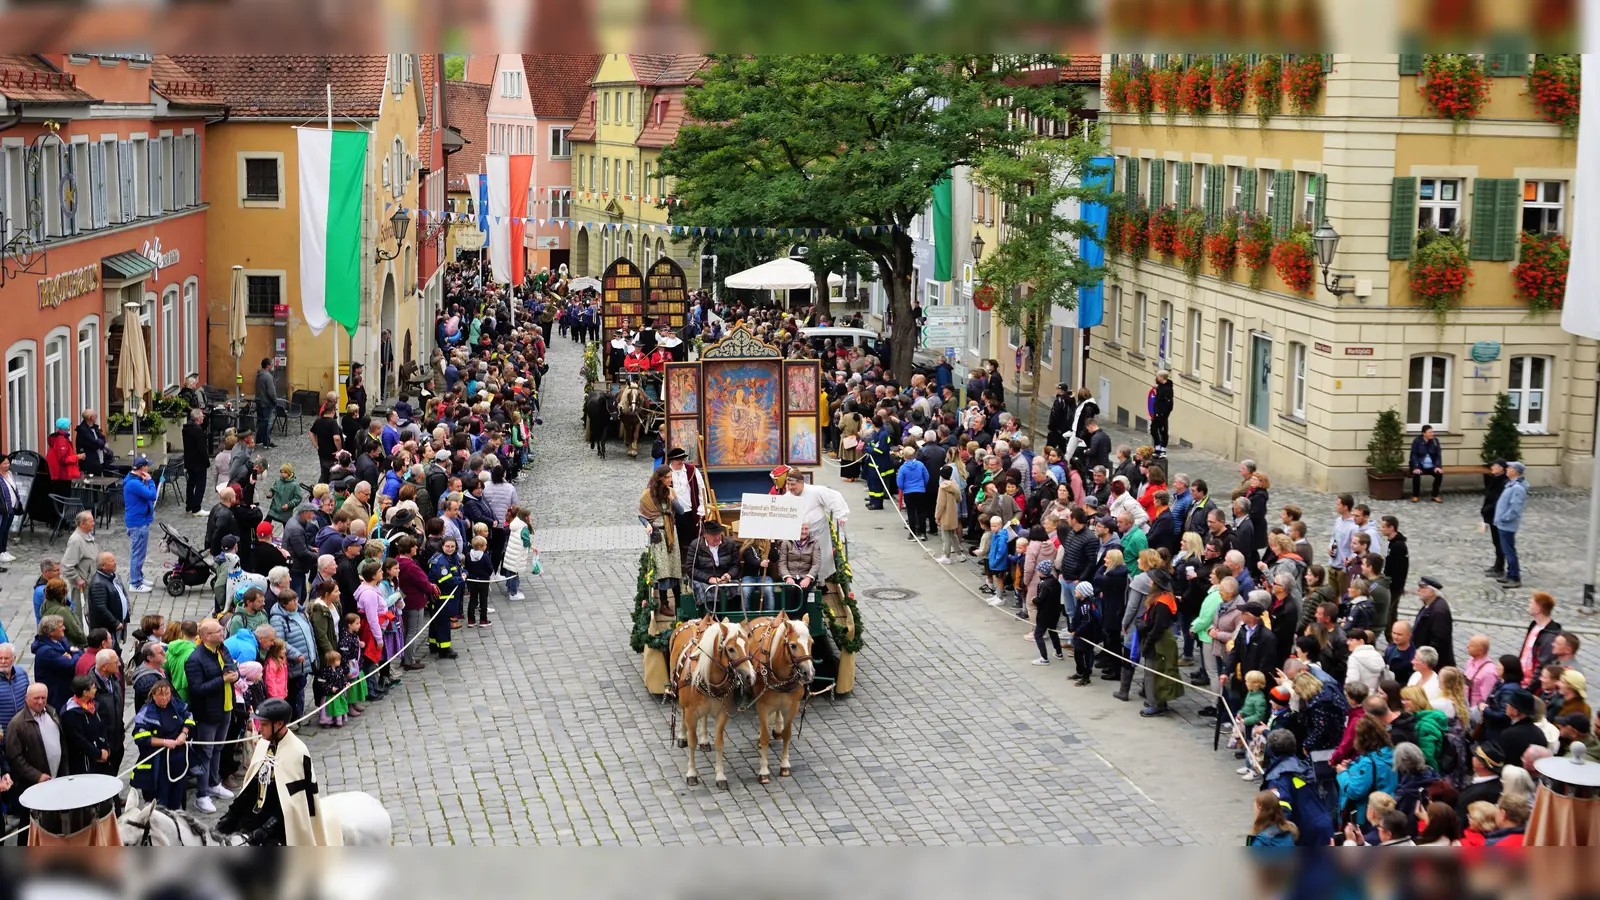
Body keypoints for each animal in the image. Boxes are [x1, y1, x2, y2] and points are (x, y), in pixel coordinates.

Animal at [668, 614, 755, 784]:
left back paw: (704, 739)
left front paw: (720, 775)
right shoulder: (691, 714)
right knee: (682, 712)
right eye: (731, 649)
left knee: (705, 717)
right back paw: (681, 736)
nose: (750, 676)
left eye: (748, 645)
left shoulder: (722, 714)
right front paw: (692, 773)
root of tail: (692, 620)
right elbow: (692, 741)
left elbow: (719, 743)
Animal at [739, 605, 812, 781]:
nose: (809, 672)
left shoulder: (793, 706)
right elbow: (765, 736)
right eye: (793, 645)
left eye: (811, 642)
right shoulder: (762, 705)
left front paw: (785, 765)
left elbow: (787, 734)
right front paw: (764, 771)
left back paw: (777, 727)